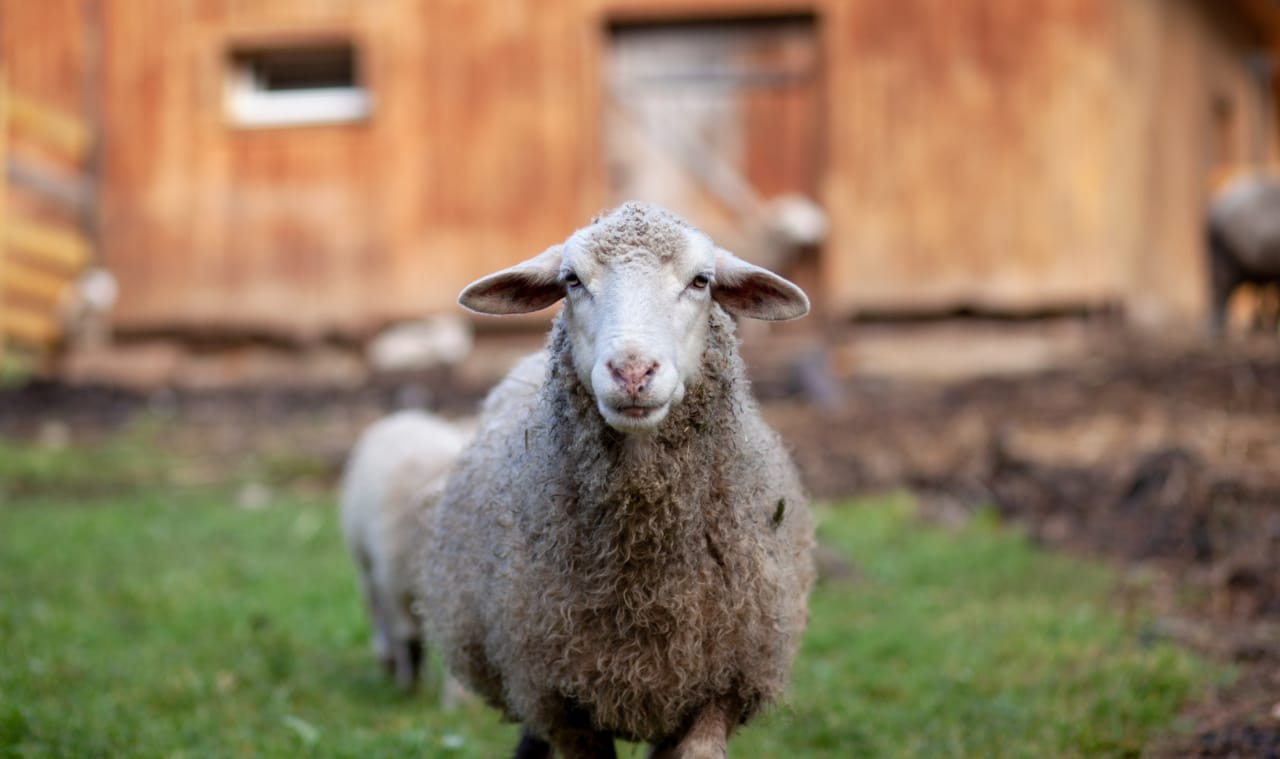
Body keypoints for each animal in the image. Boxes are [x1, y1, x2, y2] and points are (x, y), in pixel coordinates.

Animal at [340, 412, 471, 691]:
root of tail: (405, 415)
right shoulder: (395, 584)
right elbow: (408, 634)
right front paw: (410, 682)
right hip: (365, 561)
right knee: (375, 606)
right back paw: (387, 657)